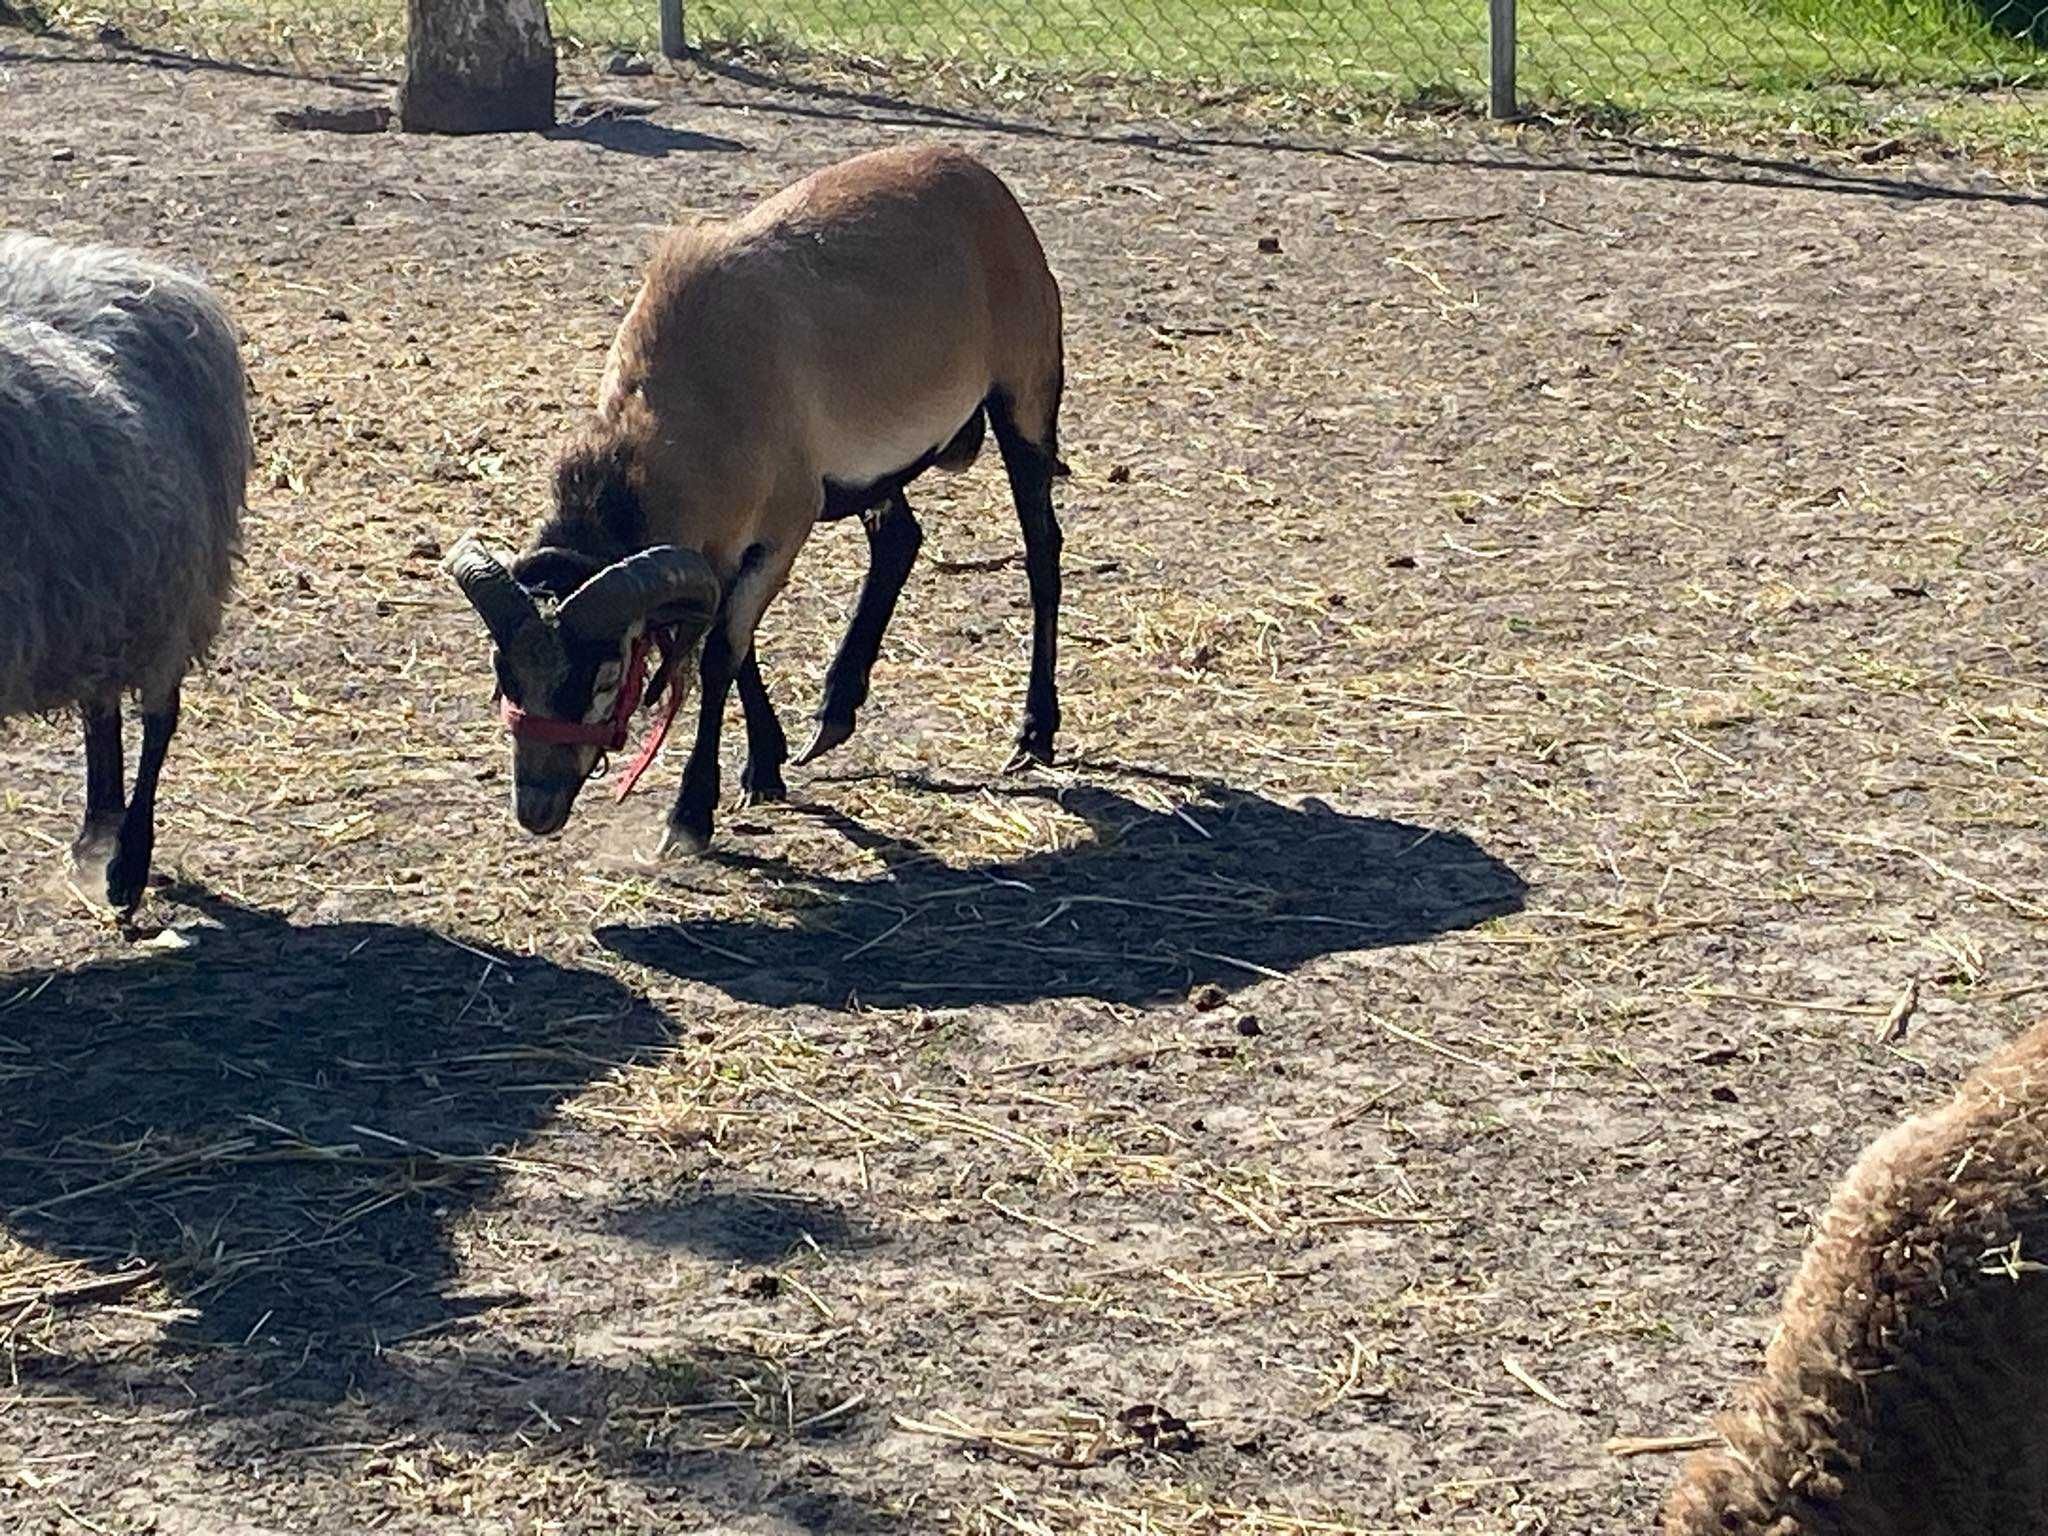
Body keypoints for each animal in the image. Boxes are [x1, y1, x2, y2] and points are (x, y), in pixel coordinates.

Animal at [0, 231, 253, 913]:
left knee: (158, 717)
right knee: (102, 708)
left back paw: (126, 865)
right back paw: (98, 833)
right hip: (107, 595)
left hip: (177, 592)